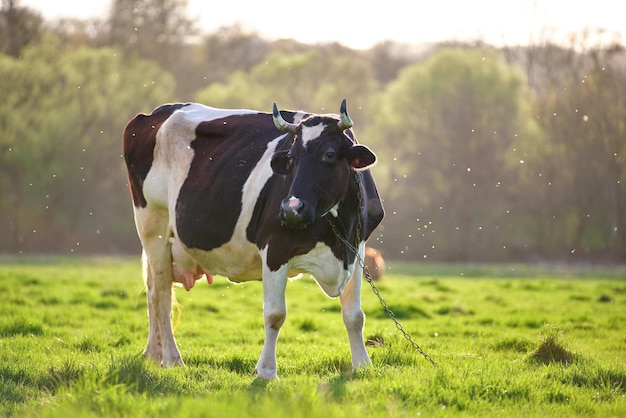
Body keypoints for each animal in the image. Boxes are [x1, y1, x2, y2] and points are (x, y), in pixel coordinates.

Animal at [122, 99, 382, 380]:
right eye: (291, 159)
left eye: (330, 154)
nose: (291, 209)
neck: (337, 233)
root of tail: (157, 112)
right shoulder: (275, 248)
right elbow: (275, 314)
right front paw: (266, 371)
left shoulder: (355, 250)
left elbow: (354, 315)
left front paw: (362, 365)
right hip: (153, 225)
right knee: (161, 294)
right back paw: (172, 359)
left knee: (151, 291)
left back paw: (153, 354)